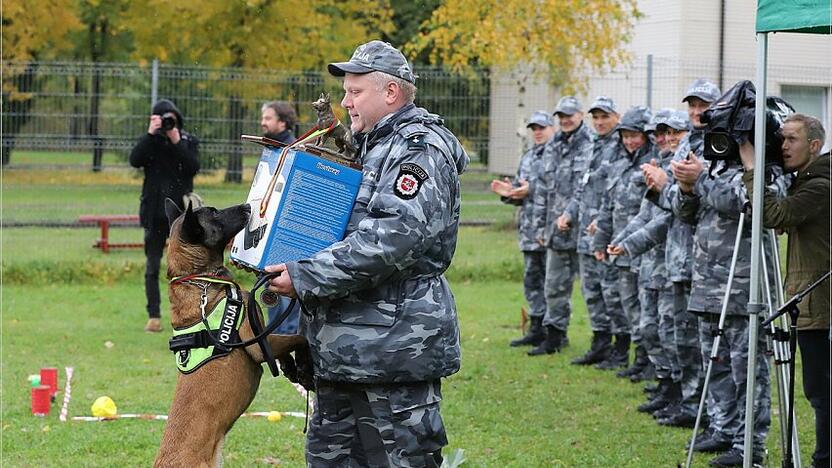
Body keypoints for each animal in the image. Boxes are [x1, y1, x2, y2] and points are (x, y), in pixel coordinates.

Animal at [154, 199, 312, 466]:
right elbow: (299, 339)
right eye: (214, 213)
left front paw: (290, 366)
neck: (198, 279)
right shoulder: (257, 343)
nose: (248, 206)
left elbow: (282, 347)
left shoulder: (263, 336)